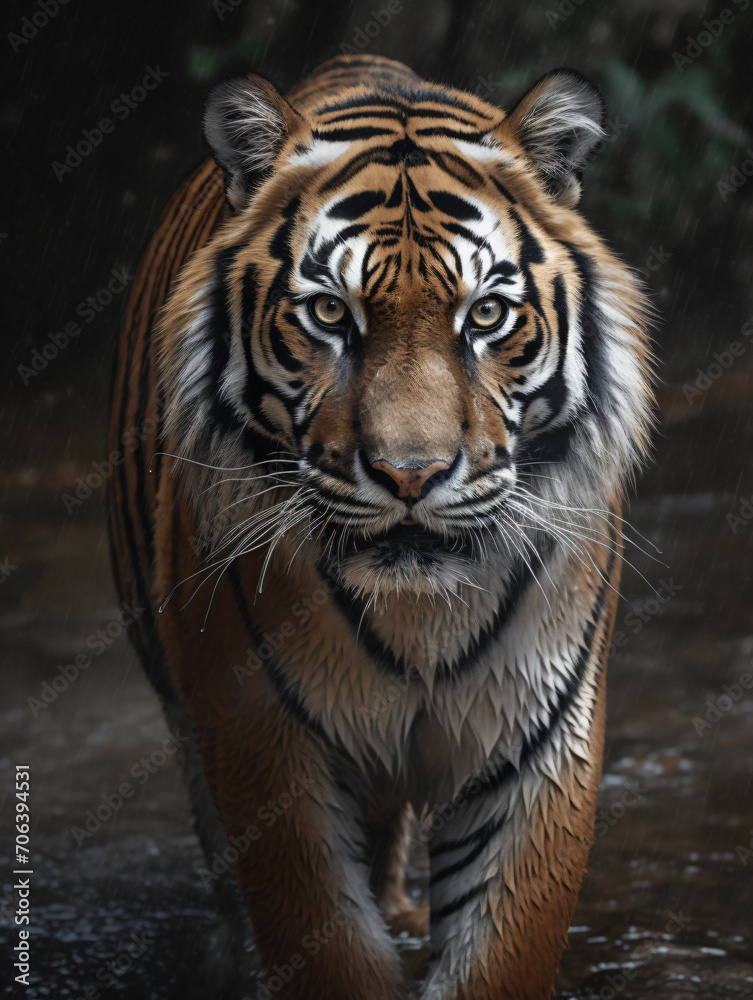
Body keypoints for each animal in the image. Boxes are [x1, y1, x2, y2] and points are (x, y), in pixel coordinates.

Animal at [108, 53, 655, 1000]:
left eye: (484, 316)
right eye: (329, 315)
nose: (410, 474)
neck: (416, 613)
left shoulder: (537, 734)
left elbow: (500, 949)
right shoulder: (260, 733)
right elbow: (321, 939)